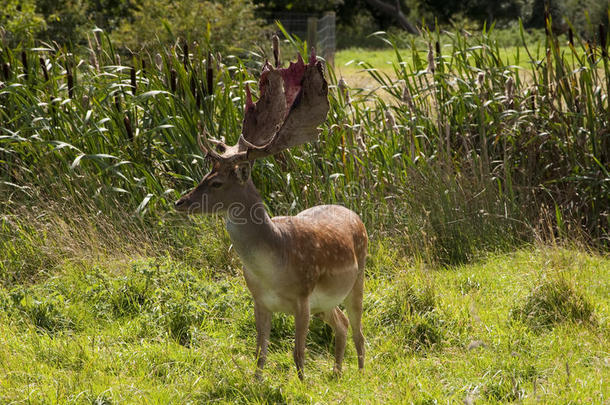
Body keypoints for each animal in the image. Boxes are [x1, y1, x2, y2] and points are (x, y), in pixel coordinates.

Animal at [173, 49, 368, 378]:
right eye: (205, 174)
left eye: (217, 182)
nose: (181, 202)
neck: (274, 265)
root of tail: (352, 212)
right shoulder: (259, 301)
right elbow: (259, 353)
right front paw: (257, 382)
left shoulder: (302, 297)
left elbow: (298, 353)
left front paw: (303, 383)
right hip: (326, 302)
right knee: (340, 324)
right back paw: (337, 372)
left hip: (358, 277)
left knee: (358, 329)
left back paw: (361, 373)